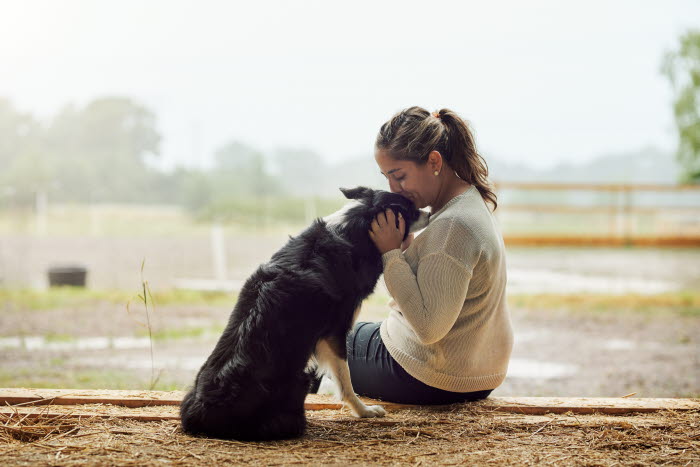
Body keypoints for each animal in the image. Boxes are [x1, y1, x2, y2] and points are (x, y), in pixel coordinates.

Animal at [179, 185, 426, 440]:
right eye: (410, 210)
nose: (428, 213)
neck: (354, 228)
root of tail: (202, 413)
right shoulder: (335, 331)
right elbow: (345, 377)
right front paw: (364, 411)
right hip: (300, 380)